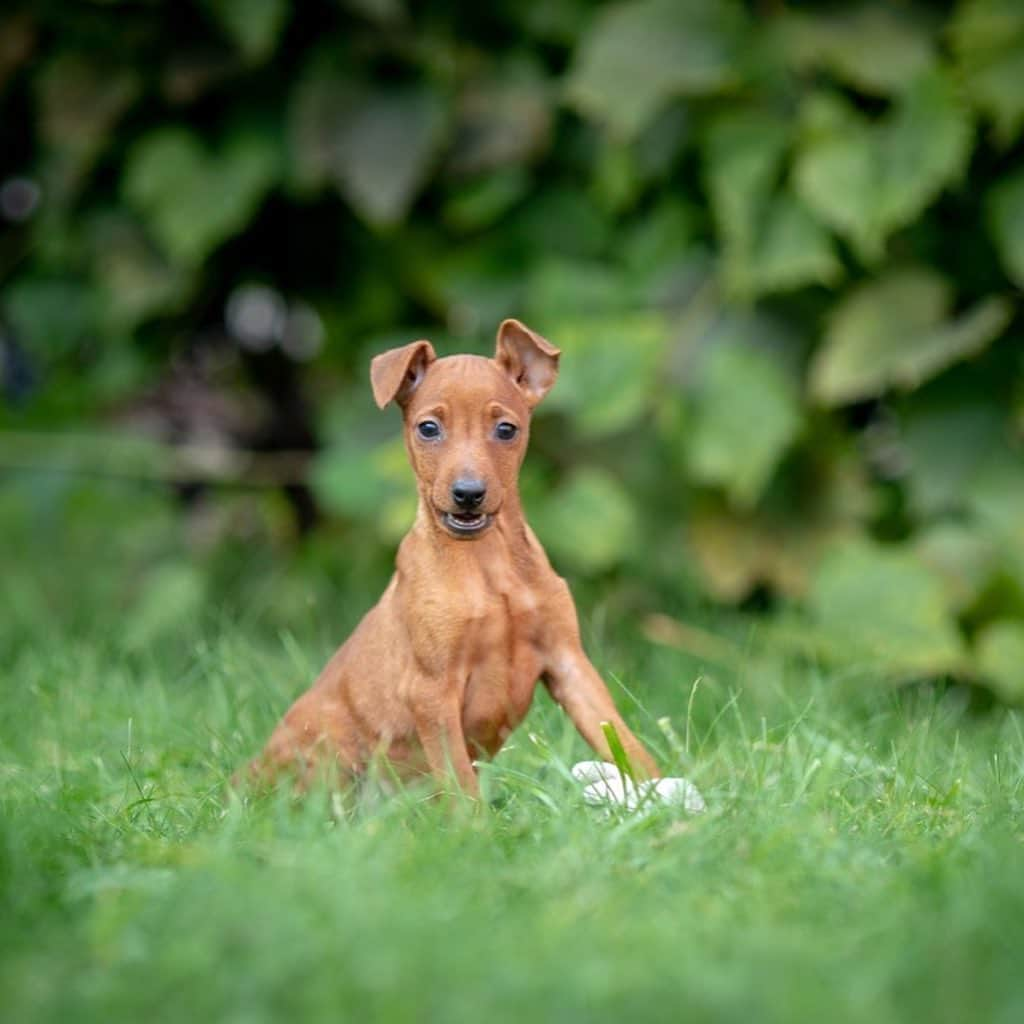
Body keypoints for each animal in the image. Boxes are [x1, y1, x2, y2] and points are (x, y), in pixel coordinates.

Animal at [251, 317, 659, 790]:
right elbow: (462, 785)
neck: (487, 561)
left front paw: (663, 791)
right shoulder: (432, 691)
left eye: (506, 429)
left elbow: (621, 739)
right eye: (428, 428)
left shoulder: (568, 663)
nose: (468, 494)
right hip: (326, 751)